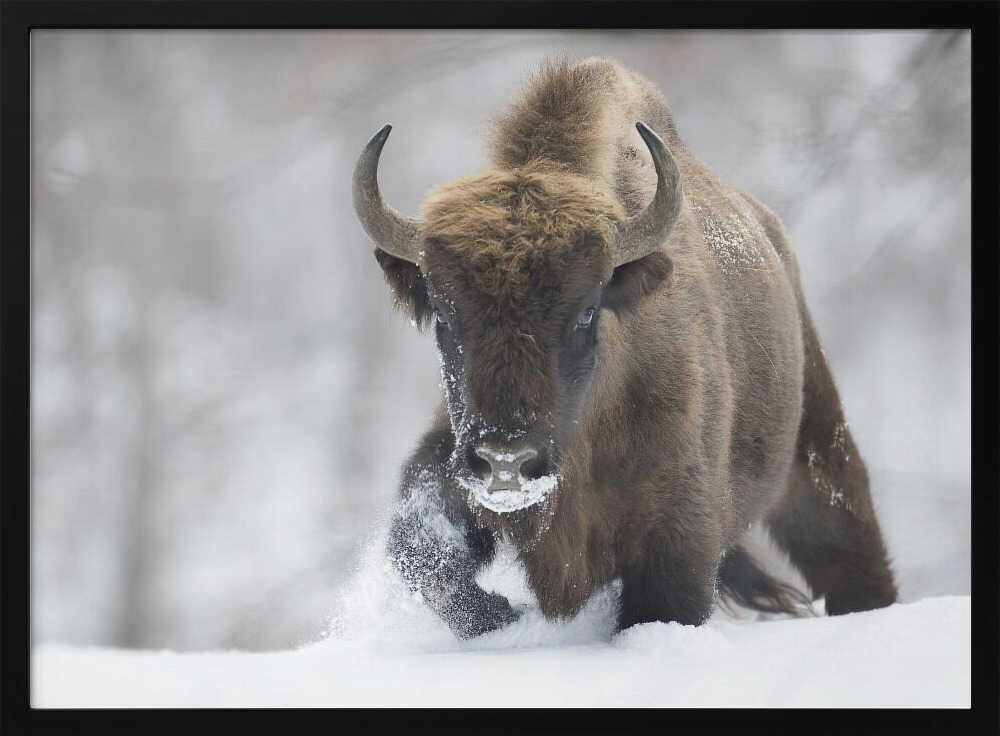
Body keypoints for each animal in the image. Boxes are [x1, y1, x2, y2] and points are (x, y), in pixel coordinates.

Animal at [352, 58, 898, 639]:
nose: (506, 461)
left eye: (587, 310)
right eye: (443, 313)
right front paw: (504, 613)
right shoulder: (449, 458)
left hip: (817, 449)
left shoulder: (677, 540)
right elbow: (423, 553)